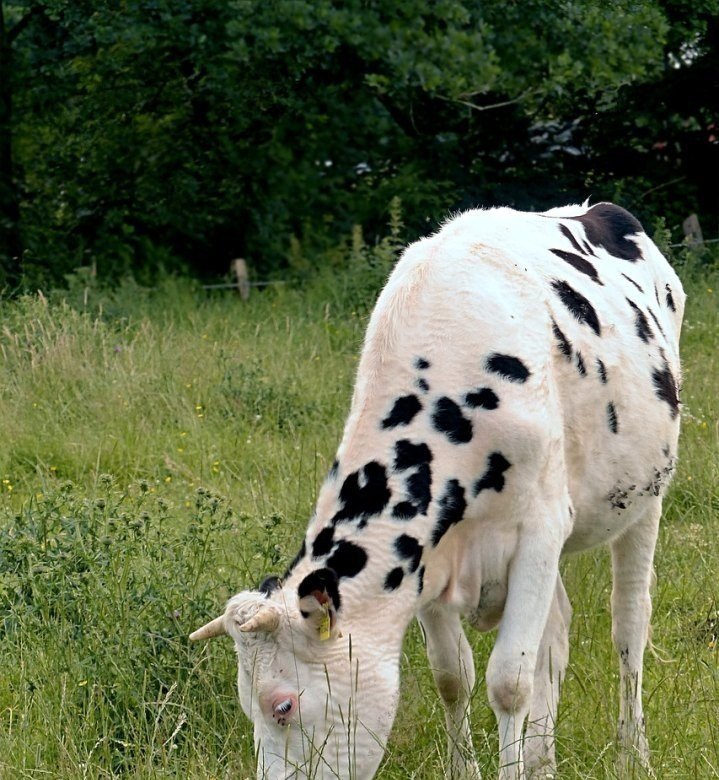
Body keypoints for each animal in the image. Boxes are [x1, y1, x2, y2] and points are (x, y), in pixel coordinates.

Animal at [191, 203, 688, 780]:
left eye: (283, 705)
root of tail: (595, 209)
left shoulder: (539, 533)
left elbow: (509, 681)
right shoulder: (426, 558)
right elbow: (453, 675)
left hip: (644, 498)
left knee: (628, 623)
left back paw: (633, 750)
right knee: (556, 632)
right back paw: (544, 759)